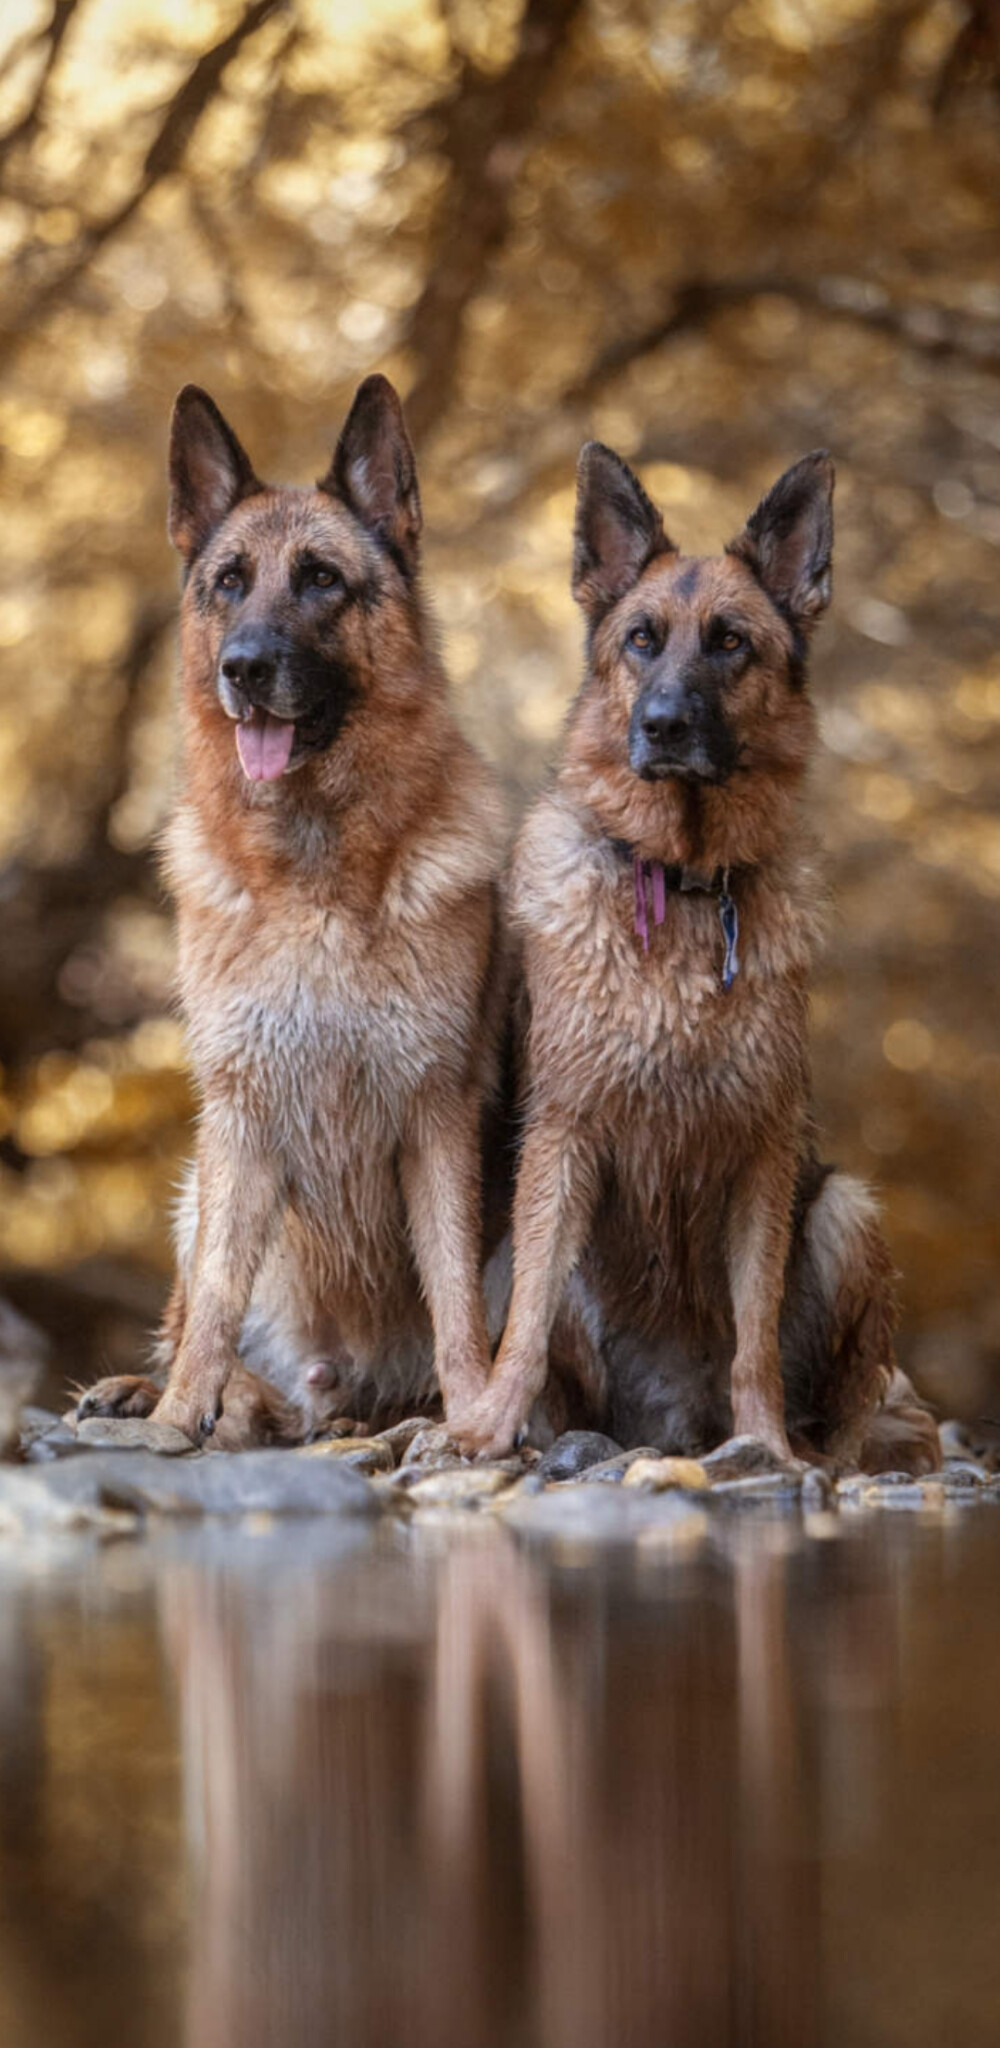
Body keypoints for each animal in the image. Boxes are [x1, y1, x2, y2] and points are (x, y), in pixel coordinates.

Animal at [76, 376, 508, 1449]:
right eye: (231, 582)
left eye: (319, 579)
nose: (244, 666)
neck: (315, 872)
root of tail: (338, 1384)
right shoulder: (238, 1116)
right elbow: (215, 1302)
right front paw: (176, 1418)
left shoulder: (436, 1116)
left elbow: (454, 1295)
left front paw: (475, 1412)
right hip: (196, 1187)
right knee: (202, 1313)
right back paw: (174, 1395)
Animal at [452, 444, 938, 1474]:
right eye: (641, 640)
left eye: (729, 643)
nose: (665, 724)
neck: (678, 883)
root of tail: (668, 1421)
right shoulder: (562, 1139)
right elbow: (525, 1319)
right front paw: (490, 1422)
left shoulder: (762, 1155)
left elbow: (754, 1336)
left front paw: (765, 1447)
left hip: (847, 1210)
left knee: (851, 1418)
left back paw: (805, 1453)